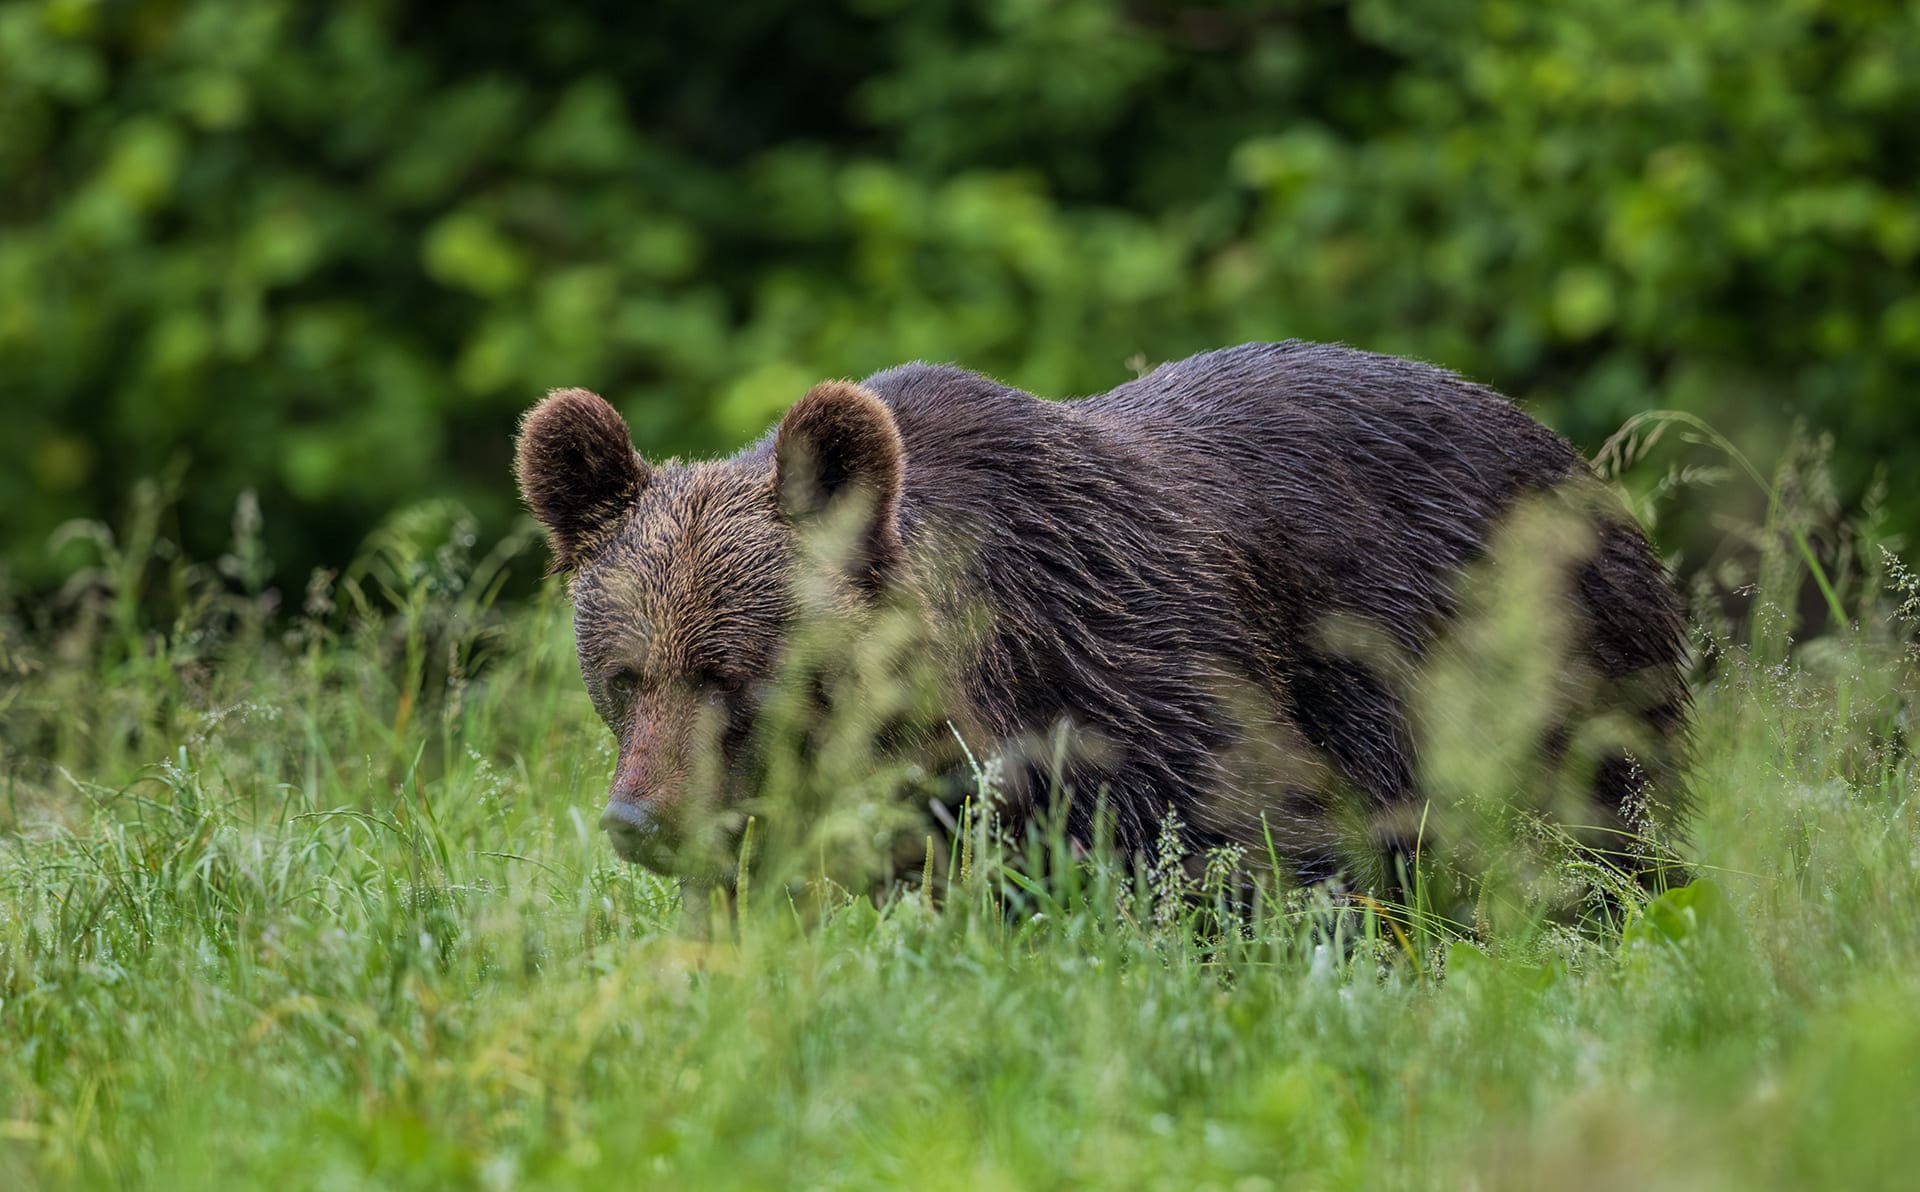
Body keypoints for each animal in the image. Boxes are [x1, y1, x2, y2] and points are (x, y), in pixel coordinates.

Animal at [514, 341, 1690, 899]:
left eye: (735, 673)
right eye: (624, 675)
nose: (642, 820)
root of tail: (1575, 461)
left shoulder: (1146, 672)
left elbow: (1261, 845)